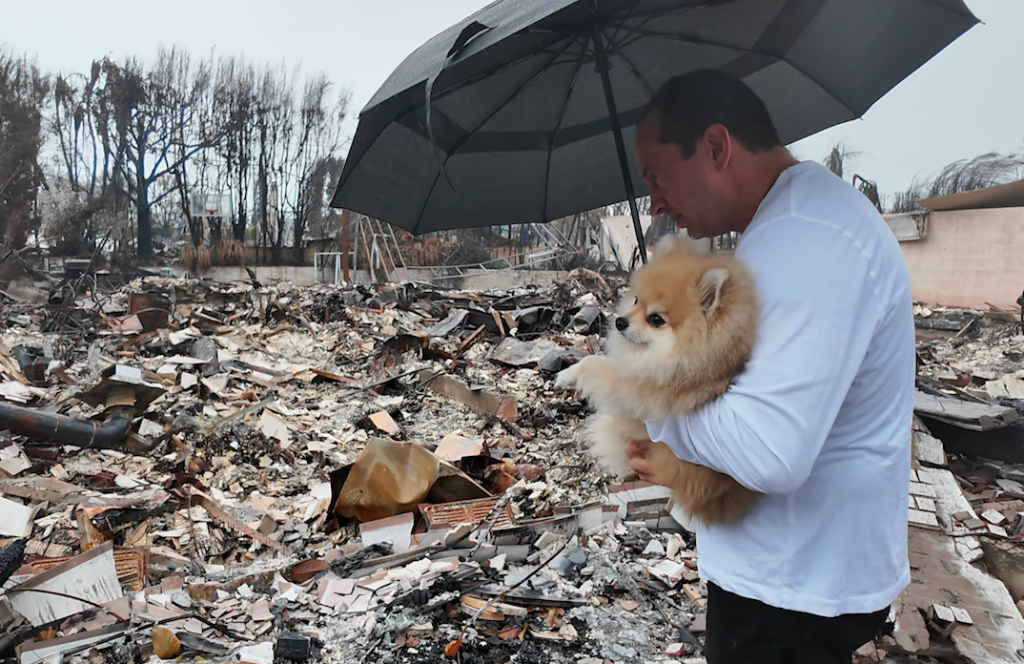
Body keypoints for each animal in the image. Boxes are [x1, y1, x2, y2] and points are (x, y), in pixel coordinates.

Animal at [561, 235, 761, 524]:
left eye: (656, 319)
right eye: (635, 300)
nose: (620, 322)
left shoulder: (639, 387)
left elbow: (596, 364)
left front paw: (567, 374)